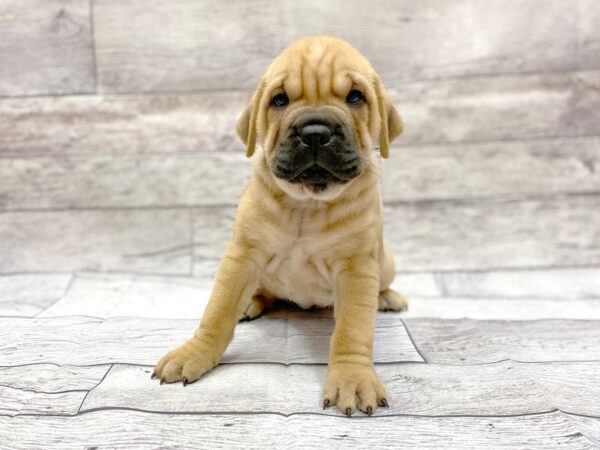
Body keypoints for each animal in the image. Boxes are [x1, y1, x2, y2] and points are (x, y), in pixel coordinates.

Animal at [155, 37, 408, 416]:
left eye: (355, 97)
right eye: (279, 100)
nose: (315, 132)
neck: (307, 203)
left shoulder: (357, 268)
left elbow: (352, 329)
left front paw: (352, 378)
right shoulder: (242, 256)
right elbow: (217, 311)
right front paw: (195, 352)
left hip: (386, 260)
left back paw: (387, 298)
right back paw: (251, 303)